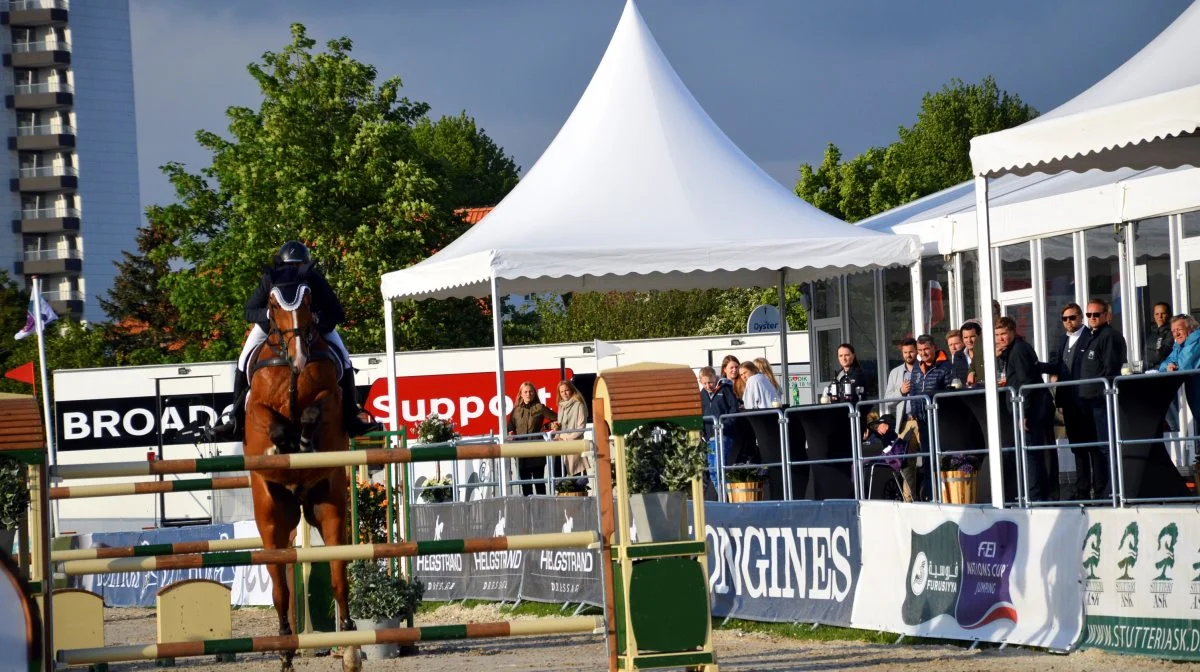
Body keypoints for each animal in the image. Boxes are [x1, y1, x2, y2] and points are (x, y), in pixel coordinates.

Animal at [241, 268, 357, 672]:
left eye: (308, 301)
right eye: (272, 303)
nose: (299, 359)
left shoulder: (331, 398)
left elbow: (314, 409)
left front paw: (304, 440)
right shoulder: (256, 410)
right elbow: (269, 421)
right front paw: (282, 444)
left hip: (330, 508)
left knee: (338, 575)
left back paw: (349, 640)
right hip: (273, 520)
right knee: (280, 588)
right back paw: (285, 648)